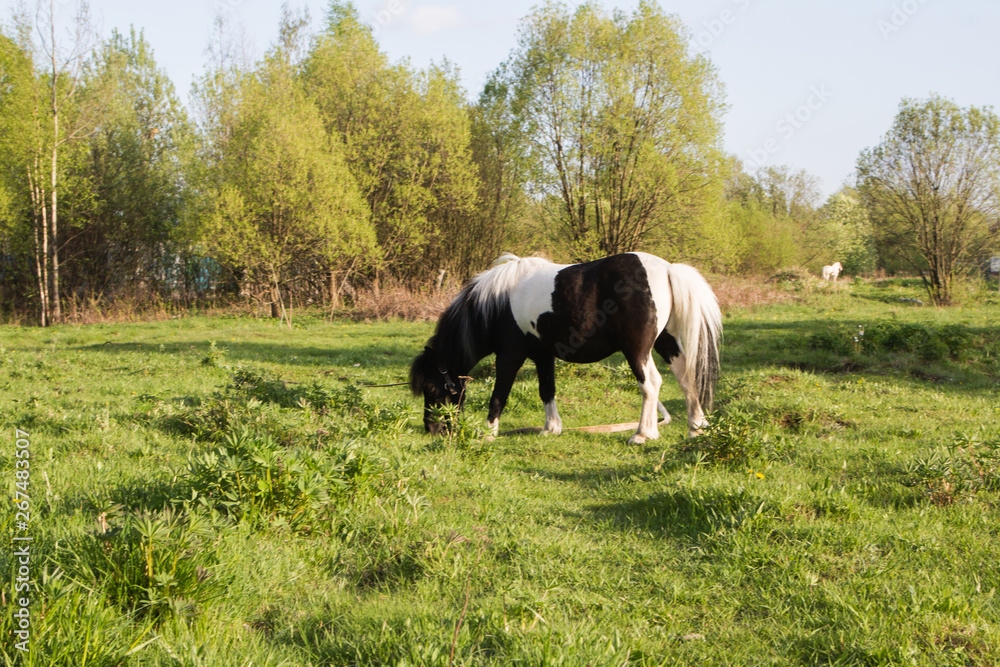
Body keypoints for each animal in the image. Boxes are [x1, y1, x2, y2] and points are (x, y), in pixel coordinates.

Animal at [410, 252, 722, 443]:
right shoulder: (542, 355)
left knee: (651, 383)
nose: (431, 429)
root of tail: (668, 269)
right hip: (665, 342)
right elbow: (547, 390)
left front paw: (488, 433)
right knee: (687, 379)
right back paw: (696, 428)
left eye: (432, 389)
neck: (497, 303)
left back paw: (643, 434)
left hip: (637, 349)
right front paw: (551, 429)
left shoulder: (510, 356)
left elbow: (499, 395)